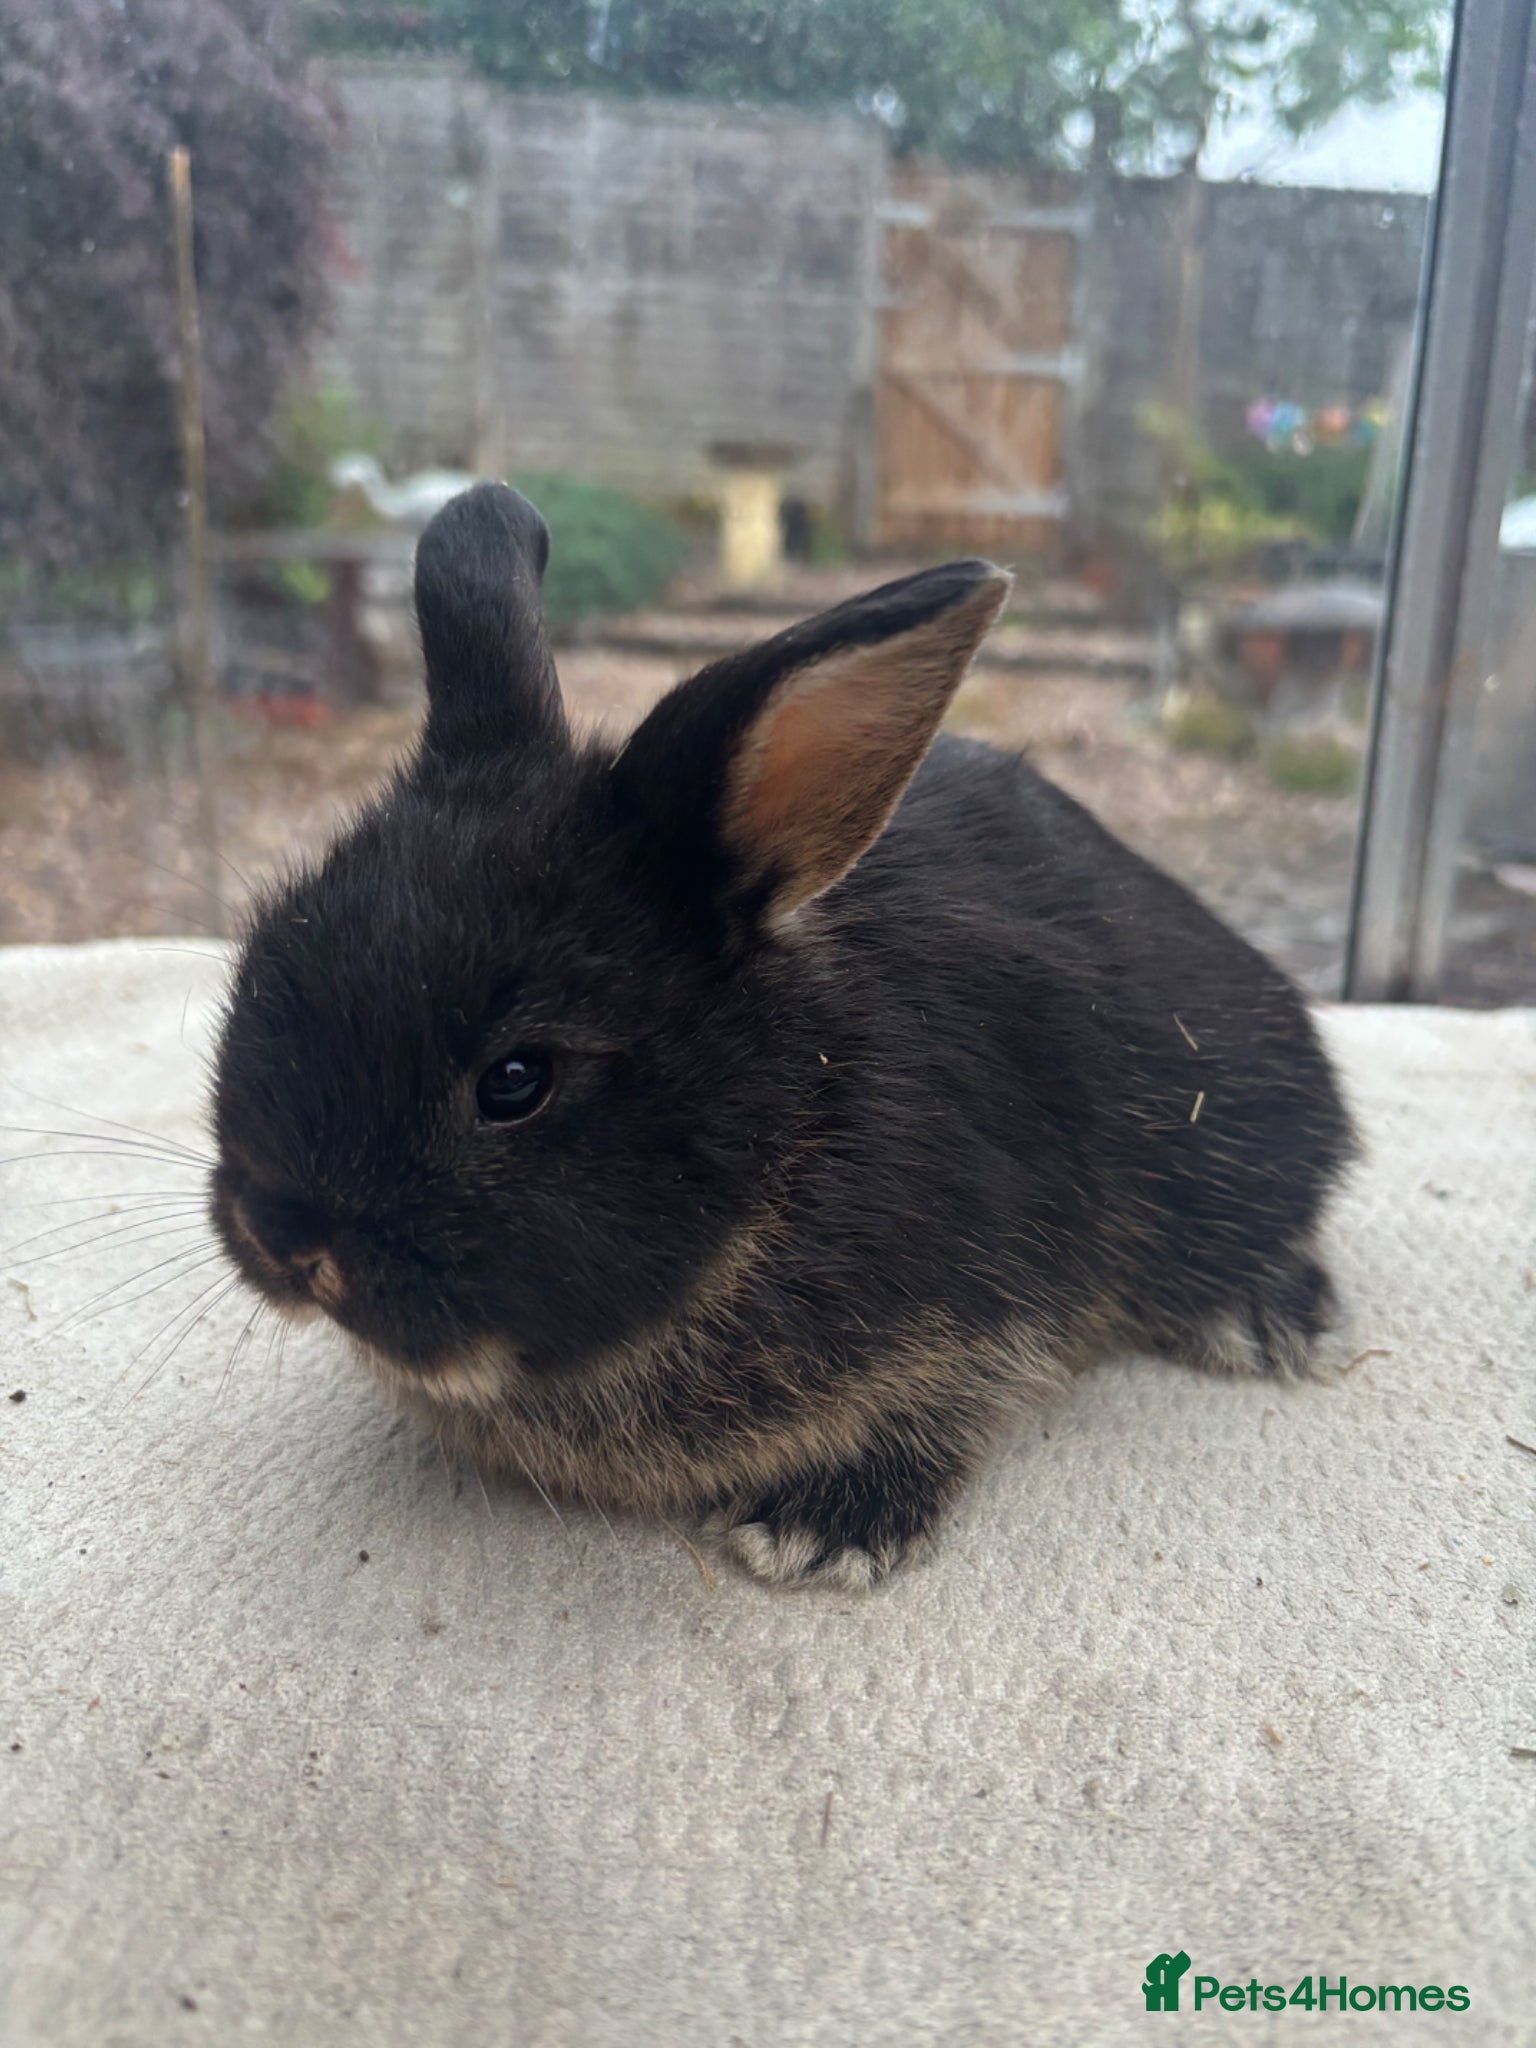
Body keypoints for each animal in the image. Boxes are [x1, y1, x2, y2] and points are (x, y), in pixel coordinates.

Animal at [209, 483, 1356, 1590]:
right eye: (260, 957)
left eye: (517, 1078)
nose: (285, 1240)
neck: (799, 1123)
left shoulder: (987, 1305)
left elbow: (945, 1401)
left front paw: (816, 1534)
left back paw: (1266, 1325)